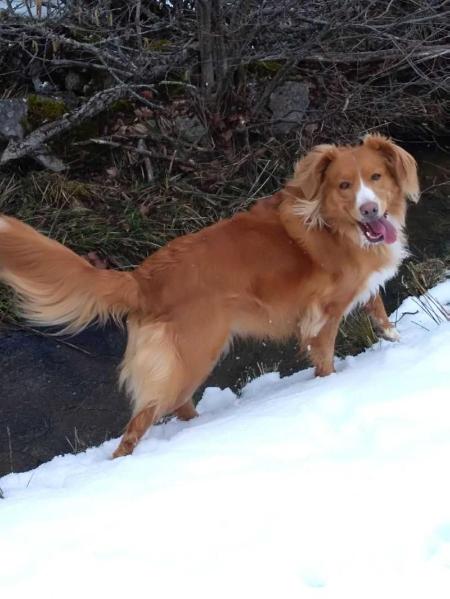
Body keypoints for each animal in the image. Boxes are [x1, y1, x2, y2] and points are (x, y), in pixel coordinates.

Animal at [0, 134, 418, 458]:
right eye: (343, 185)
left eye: (376, 176)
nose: (370, 209)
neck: (336, 227)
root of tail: (142, 278)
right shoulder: (323, 314)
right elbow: (326, 358)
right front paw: (330, 386)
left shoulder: (360, 289)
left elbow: (377, 307)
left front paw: (397, 339)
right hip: (191, 358)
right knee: (138, 425)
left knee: (177, 407)